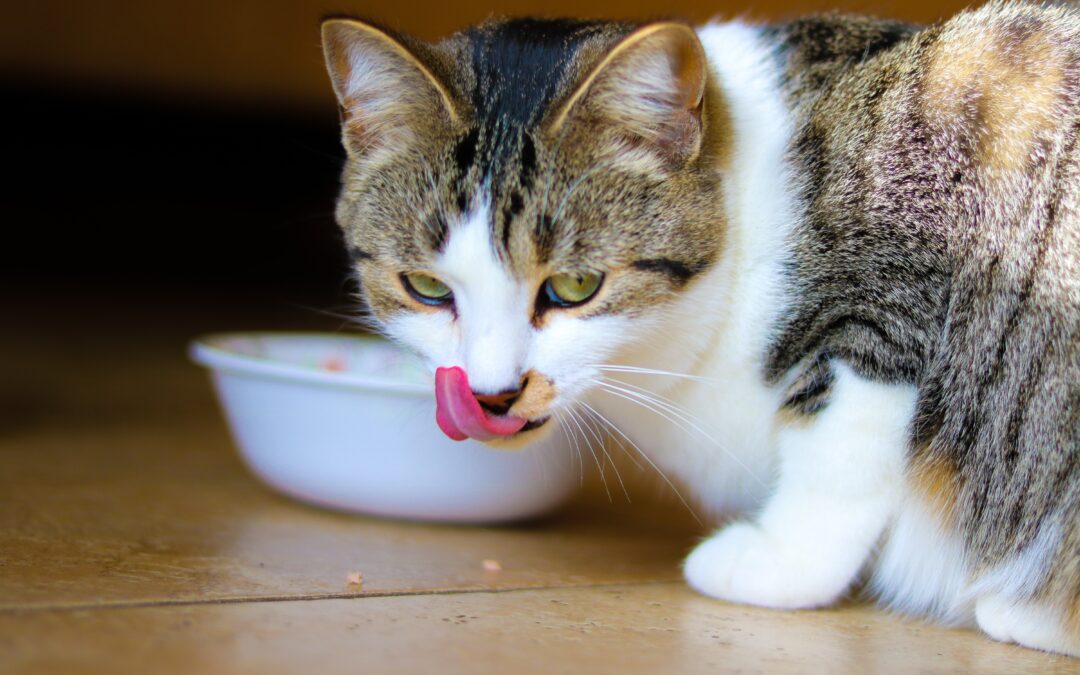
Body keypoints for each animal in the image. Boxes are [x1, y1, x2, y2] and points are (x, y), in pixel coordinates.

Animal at [319, 0, 1080, 652]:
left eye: (574, 286)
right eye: (426, 287)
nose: (493, 393)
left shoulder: (894, 286)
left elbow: (837, 453)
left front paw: (778, 562)